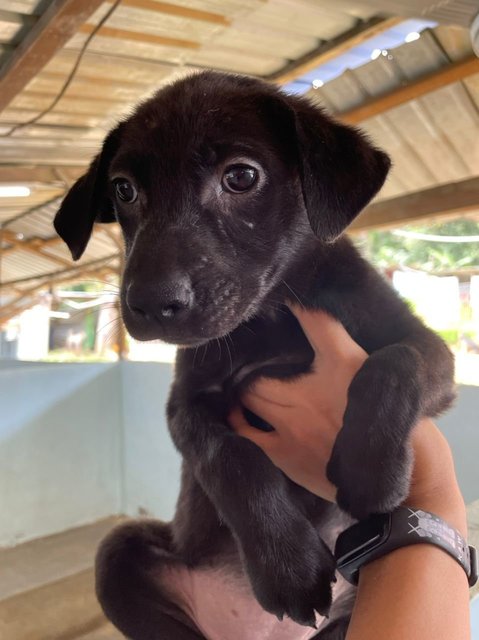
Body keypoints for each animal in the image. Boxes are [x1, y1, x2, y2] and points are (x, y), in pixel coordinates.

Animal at [54, 71, 456, 640]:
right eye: (124, 189)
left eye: (241, 177)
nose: (151, 303)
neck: (270, 315)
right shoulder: (186, 405)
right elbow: (230, 456)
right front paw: (287, 568)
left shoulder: (424, 343)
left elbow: (394, 365)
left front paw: (370, 470)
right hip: (121, 553)